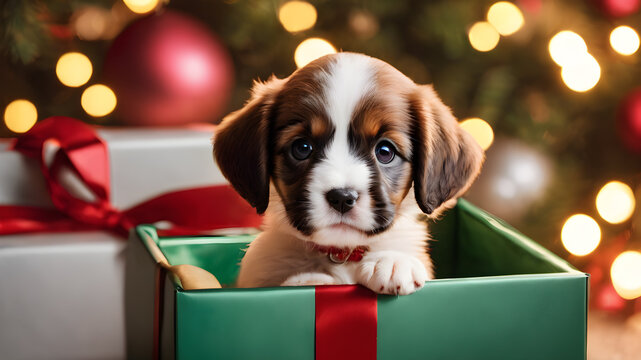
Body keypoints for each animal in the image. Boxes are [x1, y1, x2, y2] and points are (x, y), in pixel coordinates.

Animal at [212, 53, 482, 296]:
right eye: (302, 148)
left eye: (385, 151)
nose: (342, 197)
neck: (342, 254)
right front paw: (308, 280)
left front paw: (392, 260)